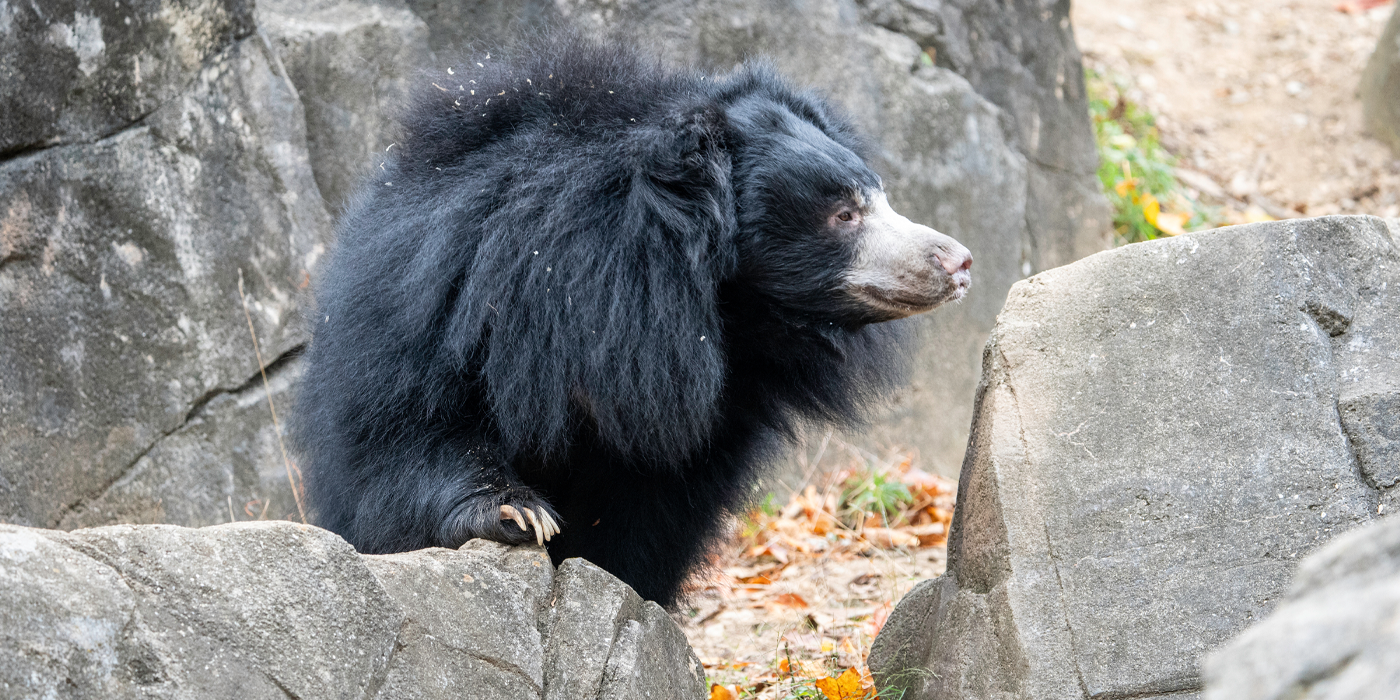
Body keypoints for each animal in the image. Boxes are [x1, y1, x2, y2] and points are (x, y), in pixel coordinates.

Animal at [292, 32, 974, 607]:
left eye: (878, 194)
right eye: (843, 214)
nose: (958, 261)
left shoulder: (703, 417)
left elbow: (651, 517)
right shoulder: (437, 307)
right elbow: (407, 432)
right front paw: (516, 514)